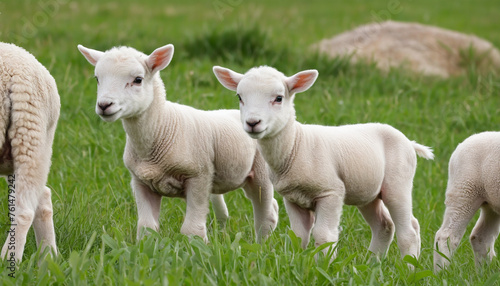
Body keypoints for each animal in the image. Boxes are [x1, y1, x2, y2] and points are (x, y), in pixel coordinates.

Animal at [79, 44, 278, 244]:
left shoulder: (198, 176)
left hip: (260, 173)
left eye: (137, 80)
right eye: (97, 79)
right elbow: (146, 227)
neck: (162, 127)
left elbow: (191, 229)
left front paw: (197, 249)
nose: (104, 105)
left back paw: (262, 245)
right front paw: (146, 247)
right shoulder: (141, 181)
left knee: (265, 213)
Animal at [211, 65, 434, 260]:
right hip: (368, 193)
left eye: (278, 98)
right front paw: (298, 262)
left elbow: (324, 235)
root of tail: (409, 142)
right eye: (240, 97)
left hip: (398, 183)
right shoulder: (293, 198)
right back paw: (373, 264)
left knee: (408, 231)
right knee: (385, 225)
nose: (252, 123)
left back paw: (409, 268)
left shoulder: (331, 192)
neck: (296, 145)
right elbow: (298, 235)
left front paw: (325, 265)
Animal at [434, 131, 500, 272]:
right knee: (445, 235)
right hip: (464, 191)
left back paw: (484, 273)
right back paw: (442, 272)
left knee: (480, 237)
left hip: (490, 202)